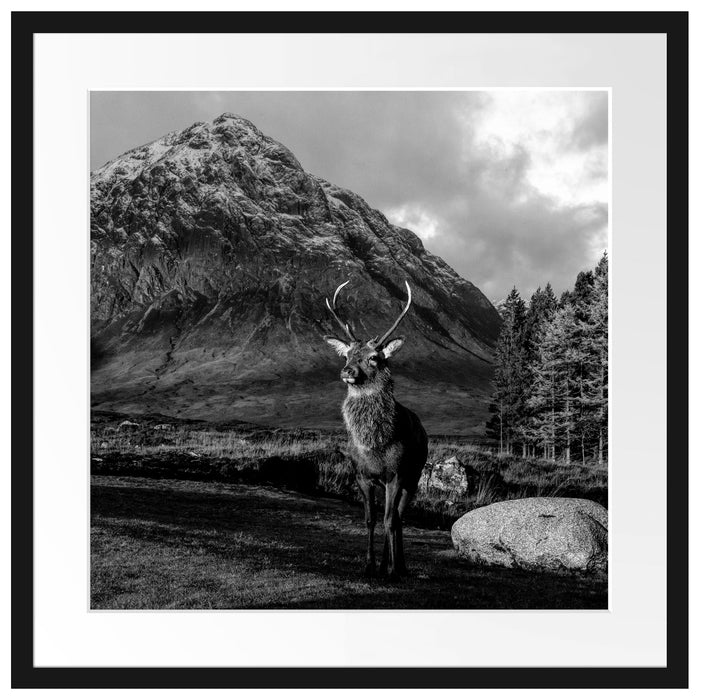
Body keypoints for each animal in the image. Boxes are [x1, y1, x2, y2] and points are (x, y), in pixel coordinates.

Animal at [324, 278, 428, 580]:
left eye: (373, 357)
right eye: (347, 355)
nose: (347, 371)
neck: (374, 445)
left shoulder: (396, 474)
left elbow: (389, 520)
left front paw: (394, 569)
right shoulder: (362, 475)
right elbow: (371, 519)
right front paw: (369, 565)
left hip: (414, 476)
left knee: (398, 518)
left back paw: (398, 566)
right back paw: (385, 564)